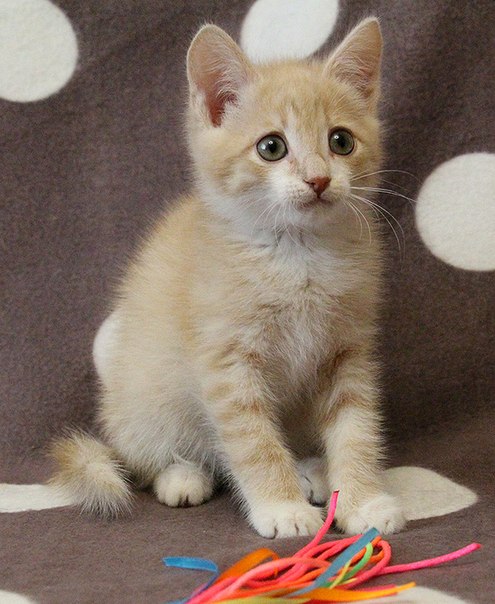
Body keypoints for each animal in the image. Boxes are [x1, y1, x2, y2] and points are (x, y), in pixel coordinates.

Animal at [50, 18, 406, 538]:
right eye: (271, 147)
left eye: (341, 141)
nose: (319, 180)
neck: (297, 256)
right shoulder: (227, 360)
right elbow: (253, 439)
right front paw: (282, 506)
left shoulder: (348, 351)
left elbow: (356, 427)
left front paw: (363, 499)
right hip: (143, 398)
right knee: (150, 458)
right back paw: (182, 475)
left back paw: (312, 470)